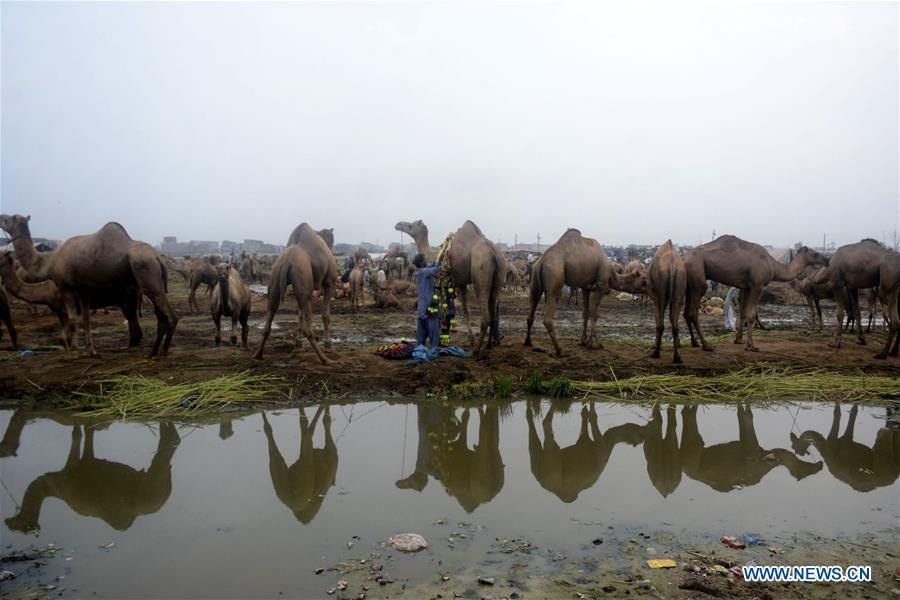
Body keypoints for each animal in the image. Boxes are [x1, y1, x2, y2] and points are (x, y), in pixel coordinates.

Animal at [0, 214, 178, 356]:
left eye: (10, 218)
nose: (1, 215)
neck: (49, 262)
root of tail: (158, 257)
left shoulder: (65, 289)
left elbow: (71, 323)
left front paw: (74, 350)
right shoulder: (83, 291)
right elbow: (86, 320)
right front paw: (90, 350)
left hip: (144, 274)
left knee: (168, 316)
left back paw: (160, 352)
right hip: (149, 285)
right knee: (155, 318)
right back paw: (153, 351)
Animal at [4, 420, 179, 532]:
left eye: (19, 525)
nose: (7, 521)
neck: (53, 485)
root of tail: (165, 498)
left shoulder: (70, 472)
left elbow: (76, 434)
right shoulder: (87, 463)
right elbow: (88, 432)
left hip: (150, 491)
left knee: (161, 458)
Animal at [396, 219, 506, 352]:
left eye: (410, 225)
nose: (398, 225)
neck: (433, 255)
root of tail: (493, 253)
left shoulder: (442, 283)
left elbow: (443, 311)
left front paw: (441, 340)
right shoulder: (461, 284)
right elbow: (464, 309)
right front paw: (469, 339)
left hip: (480, 271)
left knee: (486, 317)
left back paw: (476, 349)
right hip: (499, 277)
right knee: (494, 315)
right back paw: (489, 345)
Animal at [520, 227, 648, 354]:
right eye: (644, 280)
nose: (649, 288)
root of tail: (541, 262)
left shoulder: (585, 287)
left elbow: (585, 313)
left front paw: (583, 341)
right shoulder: (601, 285)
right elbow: (594, 313)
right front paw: (594, 343)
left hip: (535, 283)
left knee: (531, 311)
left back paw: (528, 342)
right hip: (554, 278)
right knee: (548, 317)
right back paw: (560, 350)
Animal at [684, 234, 828, 352]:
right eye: (815, 253)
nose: (827, 260)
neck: (773, 266)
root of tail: (684, 257)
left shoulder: (747, 287)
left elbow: (743, 313)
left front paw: (739, 340)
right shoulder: (757, 286)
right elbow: (751, 315)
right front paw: (751, 346)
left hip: (689, 282)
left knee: (686, 313)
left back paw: (695, 343)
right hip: (697, 276)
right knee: (693, 312)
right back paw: (707, 345)